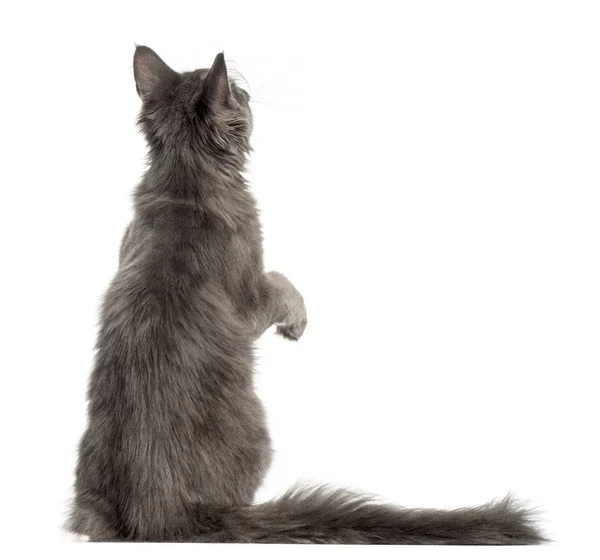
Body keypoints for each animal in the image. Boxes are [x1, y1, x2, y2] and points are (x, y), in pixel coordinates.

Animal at [68, 46, 548, 544]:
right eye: (238, 91)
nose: (248, 93)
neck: (184, 185)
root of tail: (159, 515)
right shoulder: (250, 296)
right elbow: (284, 283)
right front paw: (297, 323)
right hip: (260, 438)